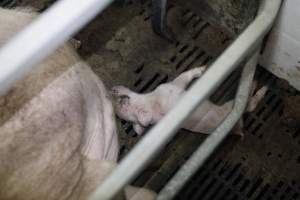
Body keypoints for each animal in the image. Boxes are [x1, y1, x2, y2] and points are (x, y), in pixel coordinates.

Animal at [110, 65, 268, 136]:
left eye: (122, 99)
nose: (111, 90)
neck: (153, 102)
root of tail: (237, 127)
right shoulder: (171, 87)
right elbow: (183, 77)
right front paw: (203, 69)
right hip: (233, 106)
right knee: (250, 104)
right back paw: (258, 84)